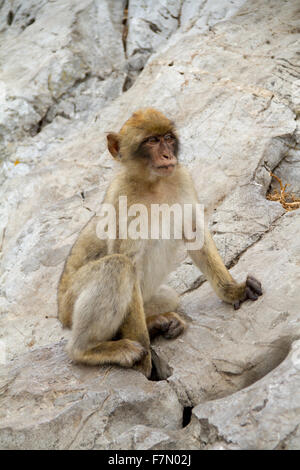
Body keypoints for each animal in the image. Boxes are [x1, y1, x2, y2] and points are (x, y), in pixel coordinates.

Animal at [56, 107, 262, 378]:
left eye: (168, 138)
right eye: (152, 141)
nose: (167, 155)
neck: (154, 184)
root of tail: (60, 313)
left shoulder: (182, 177)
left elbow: (196, 235)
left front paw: (232, 291)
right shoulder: (123, 200)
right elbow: (129, 261)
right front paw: (146, 365)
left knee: (169, 296)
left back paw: (156, 323)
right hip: (69, 306)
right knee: (117, 266)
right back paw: (89, 349)